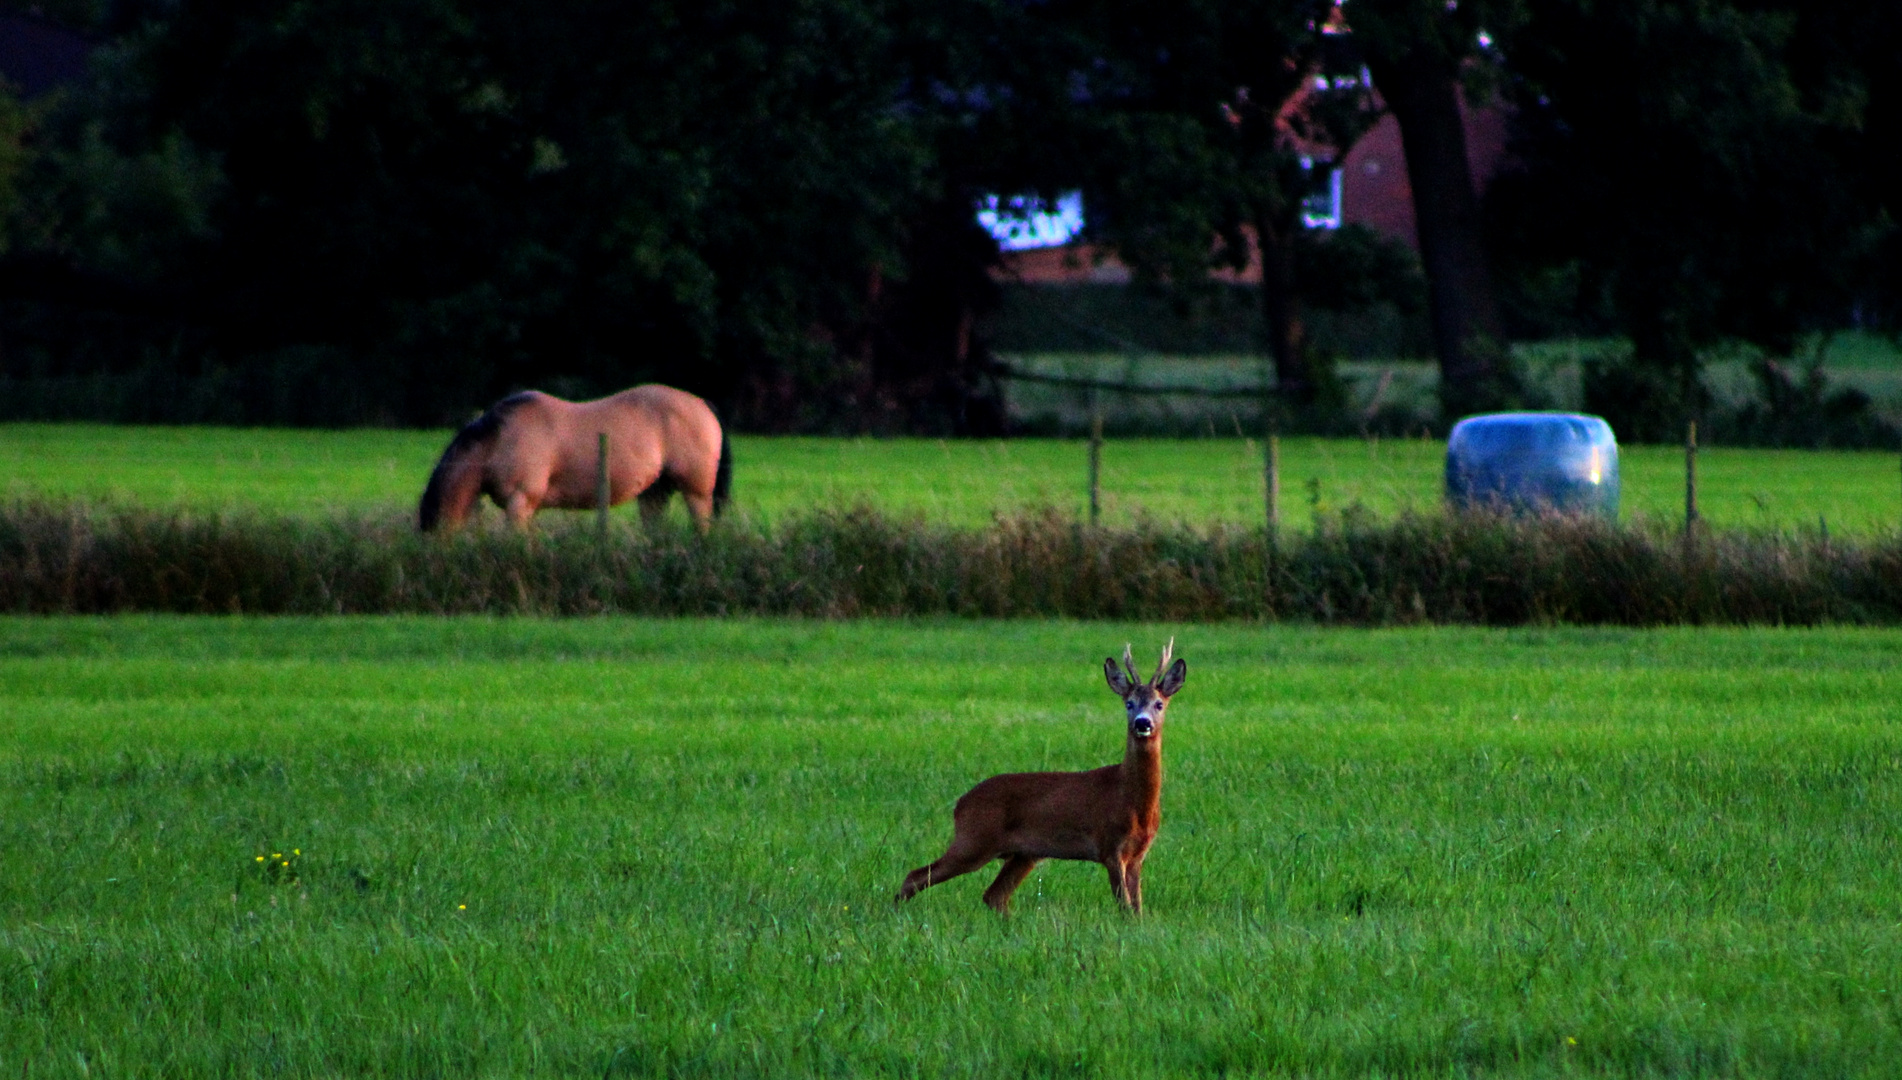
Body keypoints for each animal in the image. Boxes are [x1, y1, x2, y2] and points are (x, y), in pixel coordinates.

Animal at [420, 384, 730, 532]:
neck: (499, 440)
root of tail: (702, 404)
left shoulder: (519, 503)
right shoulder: (527, 508)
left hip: (696, 493)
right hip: (654, 494)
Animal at [893, 638, 1186, 916]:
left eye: (1159, 704)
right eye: (1129, 703)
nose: (1142, 723)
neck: (1130, 799)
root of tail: (959, 804)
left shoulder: (1137, 854)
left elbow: (1137, 908)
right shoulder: (1109, 845)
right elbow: (1124, 907)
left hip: (1024, 854)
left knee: (994, 895)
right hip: (973, 839)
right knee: (915, 876)